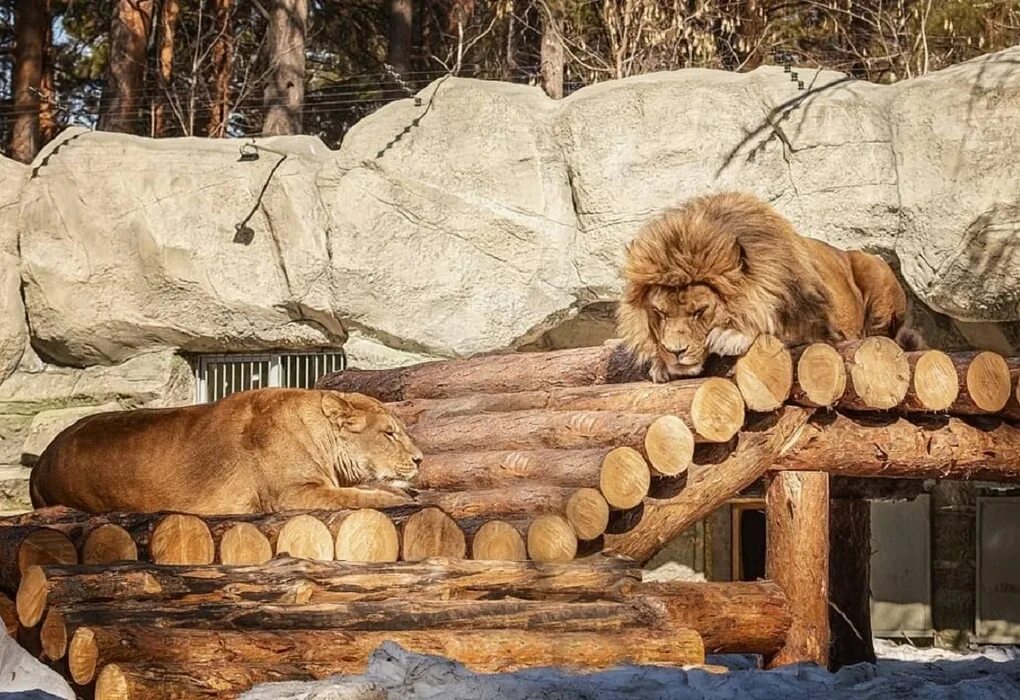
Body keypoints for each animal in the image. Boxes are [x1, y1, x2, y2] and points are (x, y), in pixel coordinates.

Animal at [30, 389, 422, 516]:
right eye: (389, 433)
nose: (420, 460)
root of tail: (41, 461)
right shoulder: (291, 494)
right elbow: (354, 496)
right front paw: (398, 498)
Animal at [616, 190, 922, 383]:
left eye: (700, 311)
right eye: (660, 313)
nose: (676, 351)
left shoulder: (821, 326)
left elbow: (775, 324)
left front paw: (731, 334)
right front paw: (660, 362)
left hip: (875, 267)